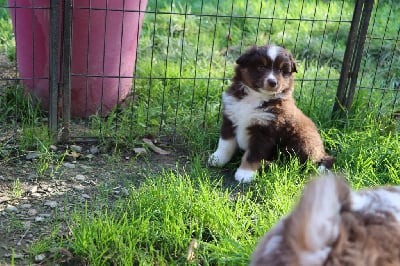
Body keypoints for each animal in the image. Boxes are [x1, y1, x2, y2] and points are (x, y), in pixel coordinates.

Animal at [208, 45, 332, 183]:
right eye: (261, 67)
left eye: (282, 70)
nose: (273, 82)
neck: (256, 97)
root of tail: (322, 152)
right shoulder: (230, 118)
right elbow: (225, 144)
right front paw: (217, 159)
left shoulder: (264, 131)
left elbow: (253, 154)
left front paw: (245, 173)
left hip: (302, 141)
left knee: (298, 162)